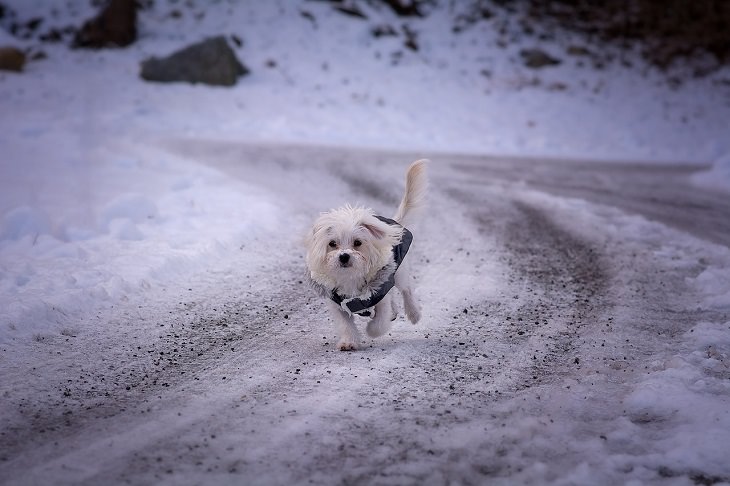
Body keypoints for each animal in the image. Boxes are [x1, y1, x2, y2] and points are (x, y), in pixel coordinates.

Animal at [302, 161, 426, 352]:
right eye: (332, 243)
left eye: (358, 242)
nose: (344, 256)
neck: (350, 277)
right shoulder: (337, 304)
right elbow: (345, 324)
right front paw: (348, 342)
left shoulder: (379, 294)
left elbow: (380, 322)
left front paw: (372, 330)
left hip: (398, 273)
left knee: (407, 290)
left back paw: (414, 313)